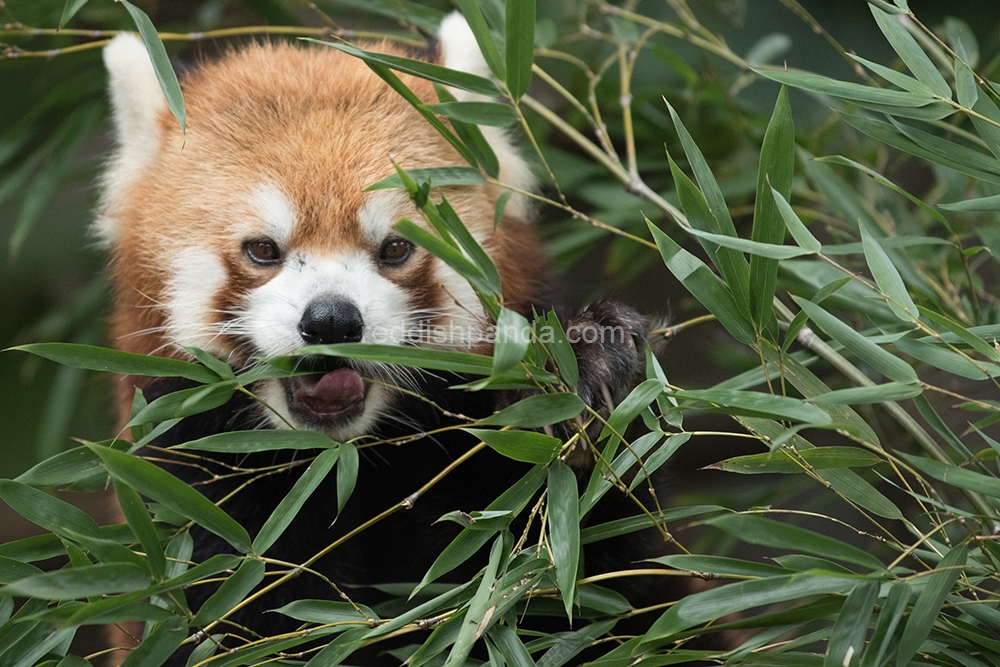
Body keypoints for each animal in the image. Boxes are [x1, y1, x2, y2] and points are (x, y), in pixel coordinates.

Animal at [97, 13, 652, 664]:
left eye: (395, 248)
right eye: (262, 250)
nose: (332, 322)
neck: (341, 465)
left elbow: (597, 598)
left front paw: (584, 367)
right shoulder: (183, 502)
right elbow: (216, 618)